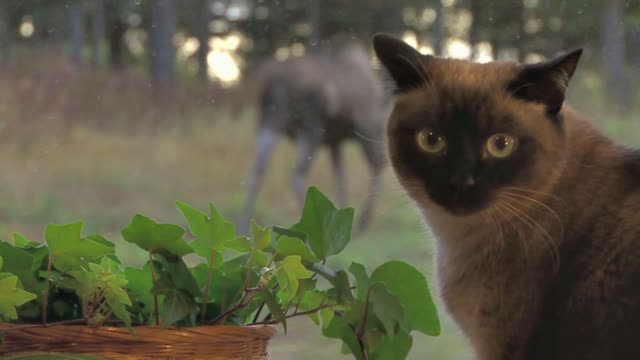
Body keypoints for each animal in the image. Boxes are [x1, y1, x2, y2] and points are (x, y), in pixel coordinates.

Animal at [238, 35, 388, 232]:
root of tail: (276, 84)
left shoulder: (335, 141)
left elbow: (341, 179)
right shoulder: (367, 126)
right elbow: (375, 166)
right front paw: (361, 221)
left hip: (269, 120)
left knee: (257, 170)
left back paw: (242, 224)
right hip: (310, 128)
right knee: (297, 175)